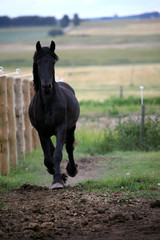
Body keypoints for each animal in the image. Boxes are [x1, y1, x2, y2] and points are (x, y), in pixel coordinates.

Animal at [28, 40, 80, 188]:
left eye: (52, 62)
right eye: (38, 62)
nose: (46, 86)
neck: (48, 104)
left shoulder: (61, 128)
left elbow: (57, 154)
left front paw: (58, 180)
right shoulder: (41, 131)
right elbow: (48, 158)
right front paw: (58, 176)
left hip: (71, 127)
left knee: (68, 147)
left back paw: (72, 170)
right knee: (52, 149)